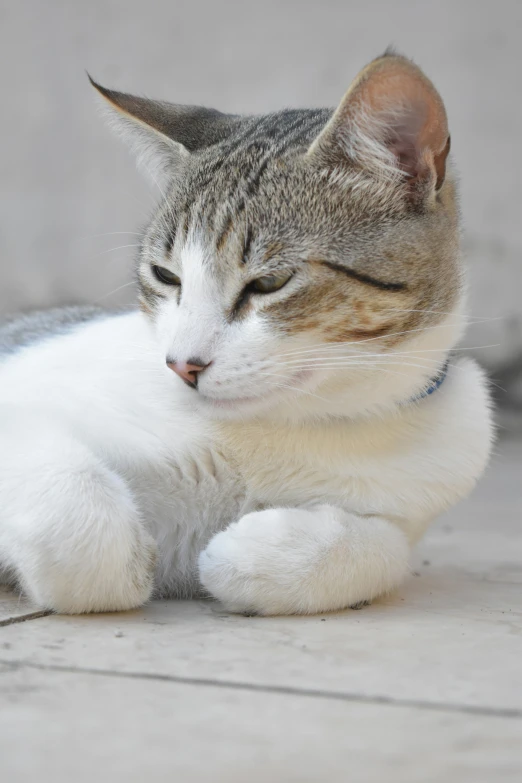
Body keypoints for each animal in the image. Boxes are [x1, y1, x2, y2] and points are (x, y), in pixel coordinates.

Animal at [0, 52, 490, 616]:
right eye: (166, 276)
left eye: (270, 283)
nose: (182, 365)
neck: (289, 425)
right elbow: (89, 534)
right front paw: (130, 560)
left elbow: (384, 550)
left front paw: (251, 554)